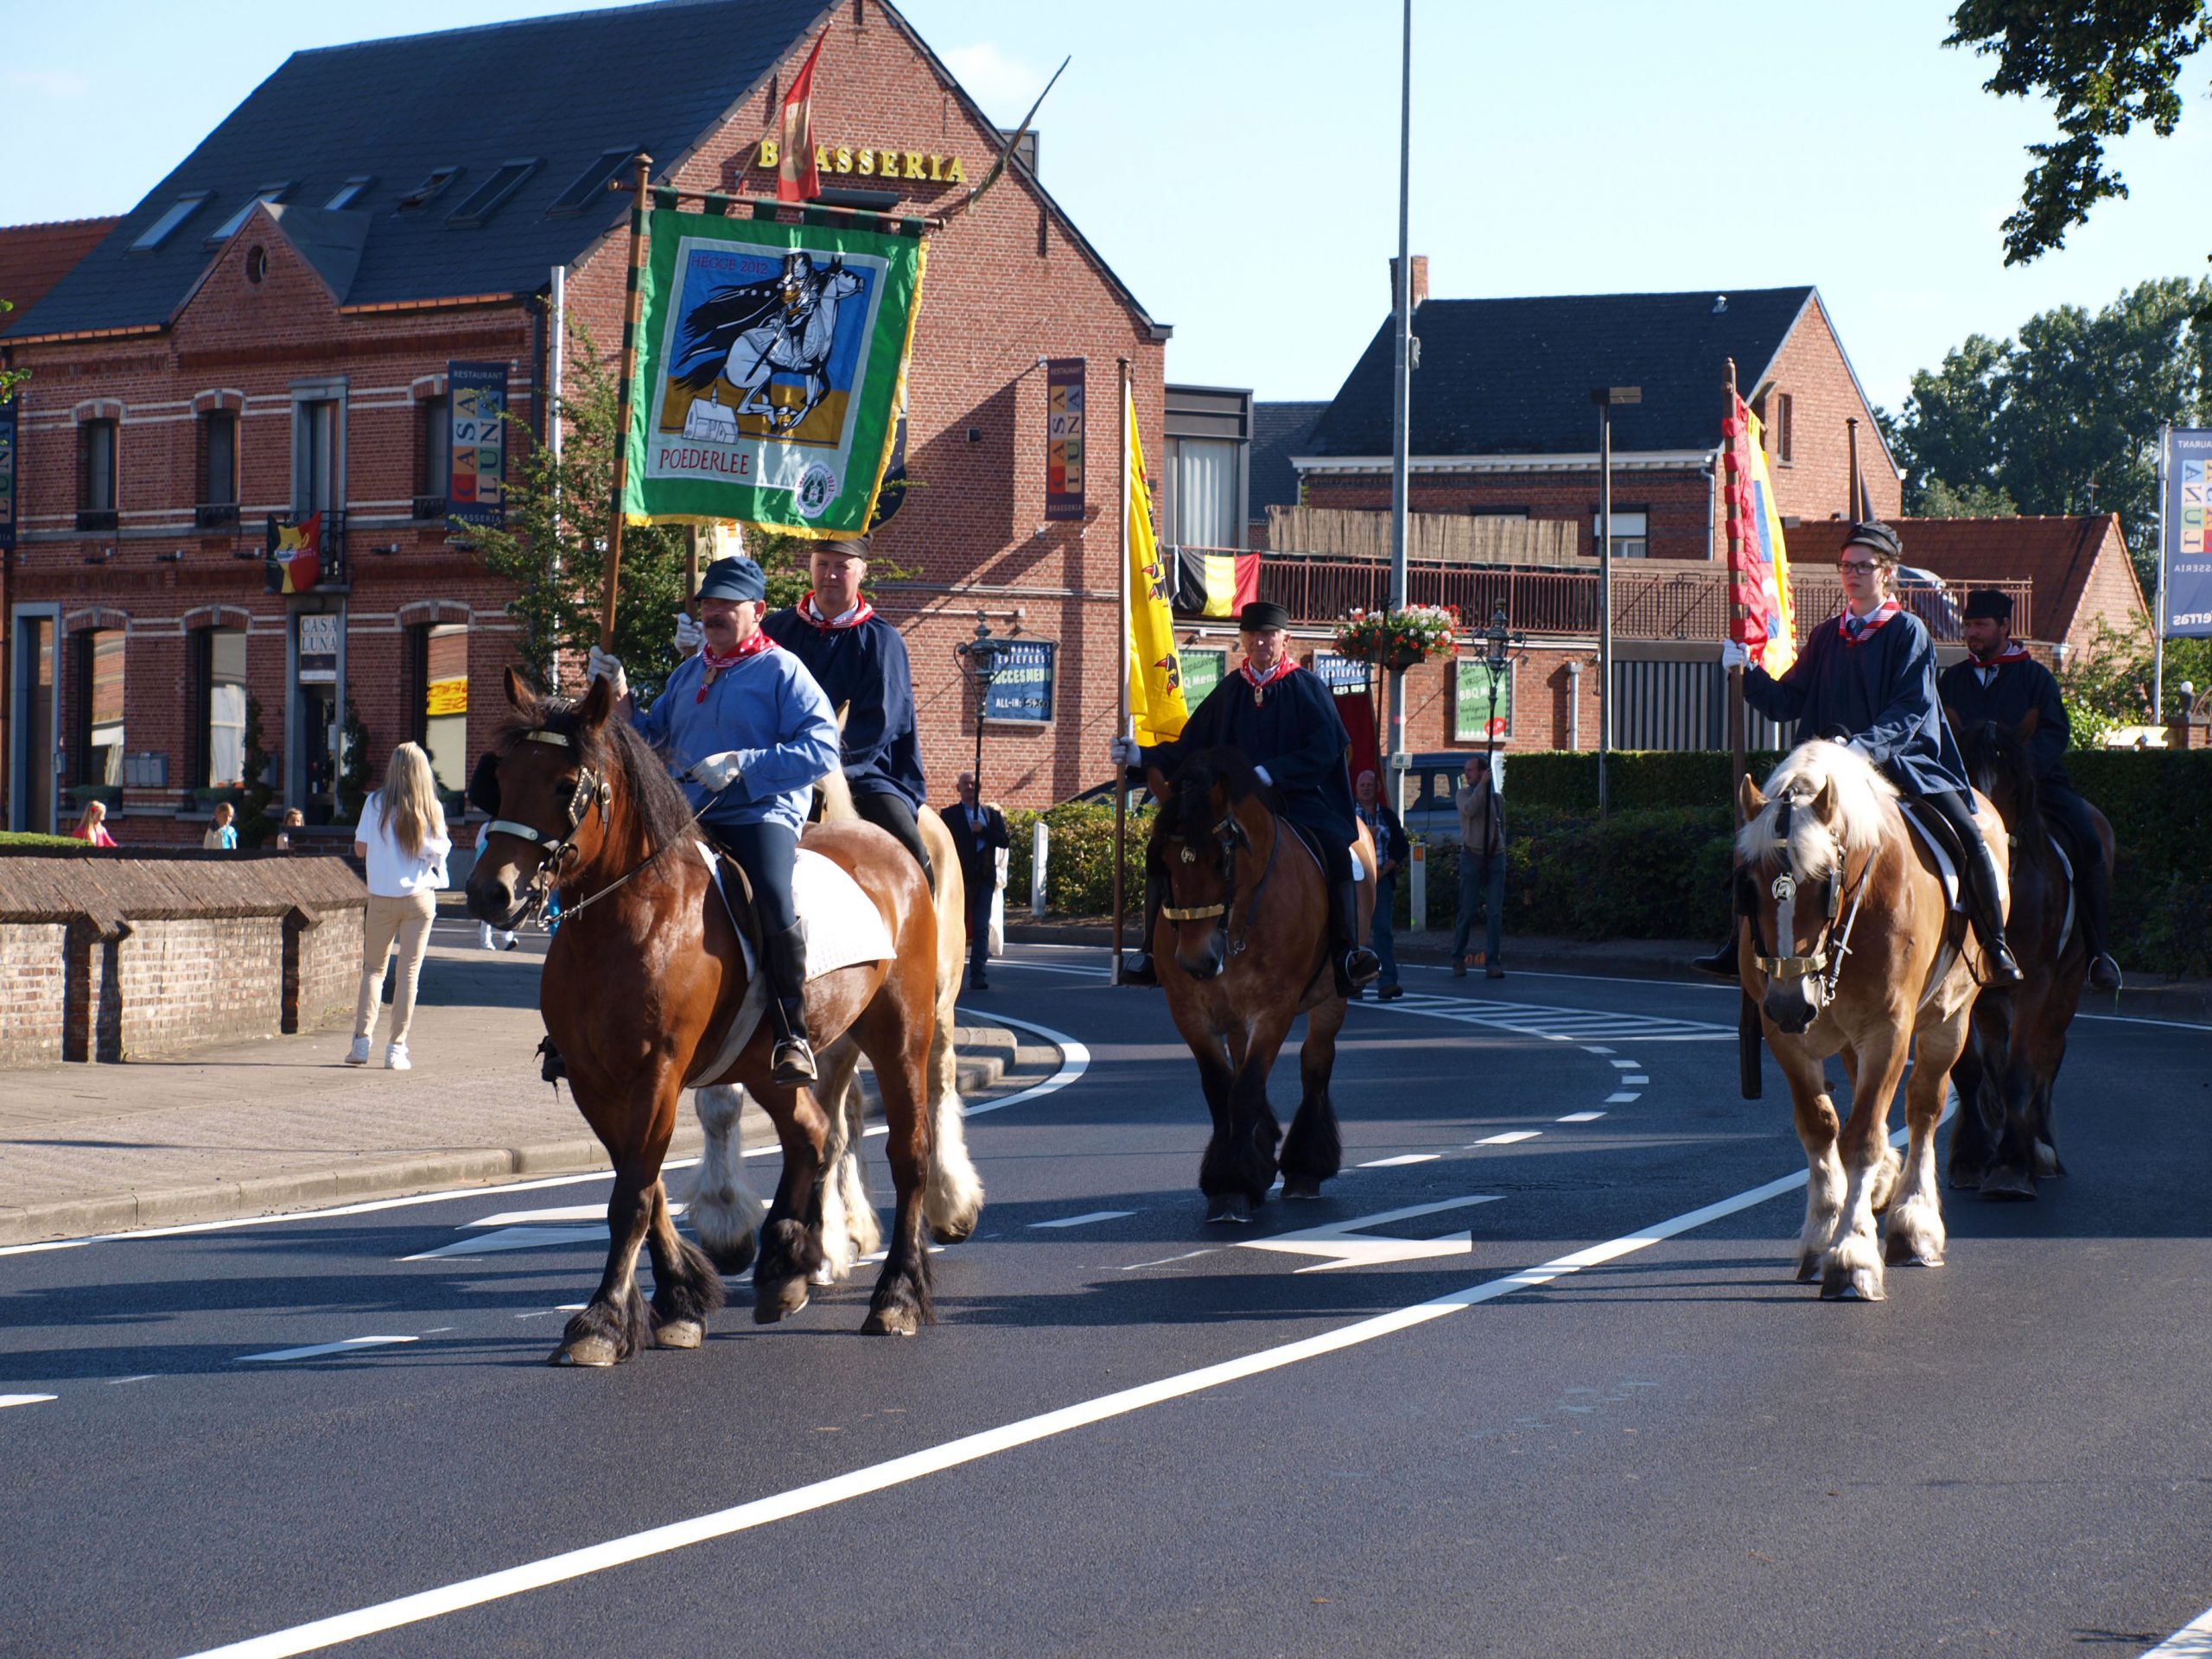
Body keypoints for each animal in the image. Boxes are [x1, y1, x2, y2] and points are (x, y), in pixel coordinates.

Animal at [463, 669, 941, 1363]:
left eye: (564, 784)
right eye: (498, 777)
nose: (488, 893)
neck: (630, 917)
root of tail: (891, 848)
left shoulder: (656, 1074)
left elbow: (632, 1198)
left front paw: (603, 1320)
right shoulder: (594, 1081)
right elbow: (645, 1186)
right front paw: (679, 1300)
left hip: (902, 1036)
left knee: (909, 1155)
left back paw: (896, 1294)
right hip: (770, 1066)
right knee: (812, 1133)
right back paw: (783, 1265)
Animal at [687, 767, 985, 1288]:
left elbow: (827, 1123)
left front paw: (820, 1240)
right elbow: (722, 1108)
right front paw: (727, 1223)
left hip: (934, 1001)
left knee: (937, 1080)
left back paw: (949, 1202)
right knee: (857, 1110)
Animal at [1144, 747, 1375, 1224]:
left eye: (1221, 859)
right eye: (1165, 862)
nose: (1196, 959)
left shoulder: (1275, 1009)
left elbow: (1246, 1089)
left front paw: (1233, 1183)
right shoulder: (1190, 1012)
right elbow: (1221, 1089)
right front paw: (1232, 1175)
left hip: (1330, 999)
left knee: (1315, 1062)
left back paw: (1305, 1165)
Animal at [1730, 739, 2008, 1300]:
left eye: (1824, 883)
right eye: (1749, 884)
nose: (1790, 1002)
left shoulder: (1889, 1030)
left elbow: (1863, 1137)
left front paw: (1852, 1252)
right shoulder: (1786, 1039)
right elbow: (1820, 1127)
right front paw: (1822, 1234)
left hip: (1949, 1020)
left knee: (1922, 1109)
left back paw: (1913, 1222)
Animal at [1943, 713, 2113, 1199]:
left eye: (2017, 787)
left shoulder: (2038, 980)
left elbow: (2021, 1072)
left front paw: (2012, 1167)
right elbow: (1971, 1070)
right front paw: (1972, 1157)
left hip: (2066, 986)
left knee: (2046, 1055)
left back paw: (2040, 1150)